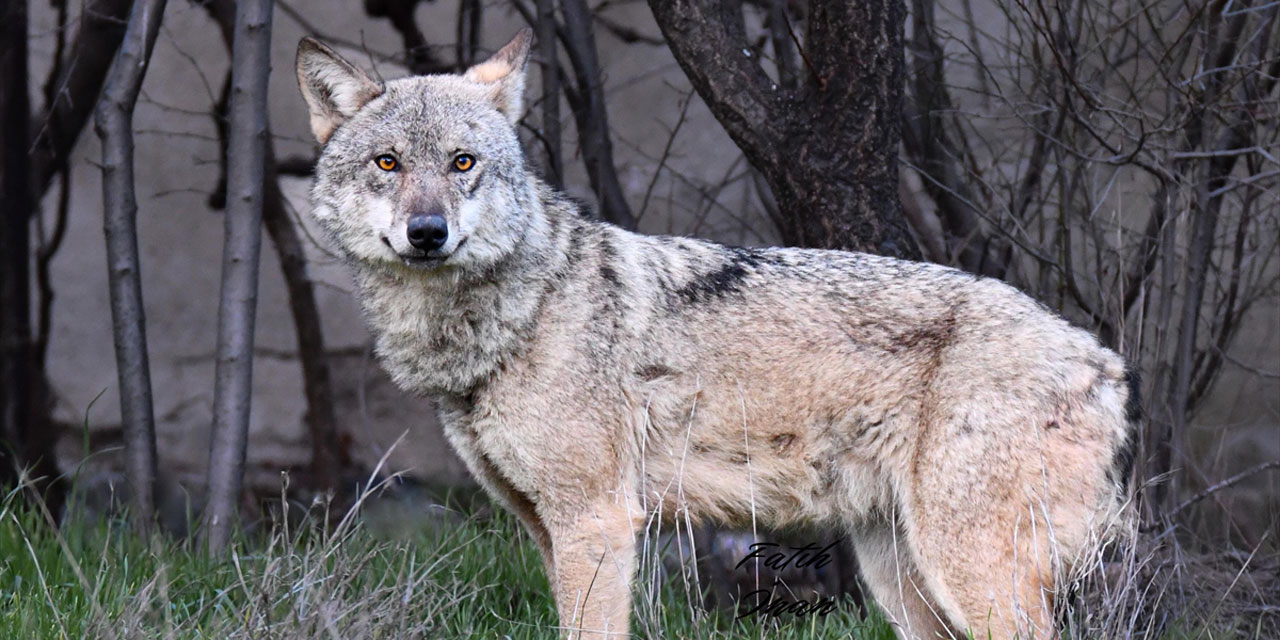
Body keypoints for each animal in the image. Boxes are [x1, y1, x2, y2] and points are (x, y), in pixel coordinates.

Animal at [294, 30, 1136, 640]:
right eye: (388, 163)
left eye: (462, 162)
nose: (426, 232)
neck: (517, 314)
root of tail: (1102, 358)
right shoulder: (545, 528)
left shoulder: (597, 522)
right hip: (903, 578)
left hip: (966, 572)